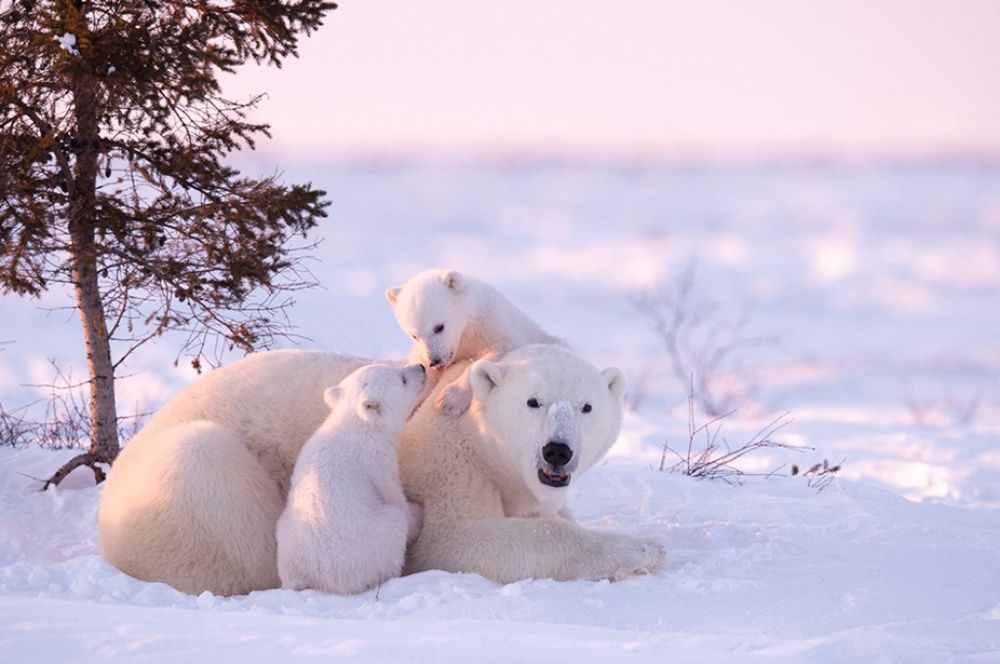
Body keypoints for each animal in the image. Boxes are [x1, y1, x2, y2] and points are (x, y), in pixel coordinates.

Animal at [278, 364, 426, 596]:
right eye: (402, 379)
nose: (421, 367)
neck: (356, 423)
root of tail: (318, 579)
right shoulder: (377, 461)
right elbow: (395, 498)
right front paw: (418, 513)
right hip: (374, 541)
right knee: (394, 526)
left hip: (285, 537)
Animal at [386, 268, 568, 416]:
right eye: (414, 335)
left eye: (439, 327)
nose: (435, 361)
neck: (465, 331)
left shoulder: (493, 322)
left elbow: (502, 347)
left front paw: (449, 399)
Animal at [402, 344, 668, 584]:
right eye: (533, 401)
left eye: (587, 406)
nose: (557, 451)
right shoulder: (452, 468)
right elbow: (455, 537)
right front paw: (643, 548)